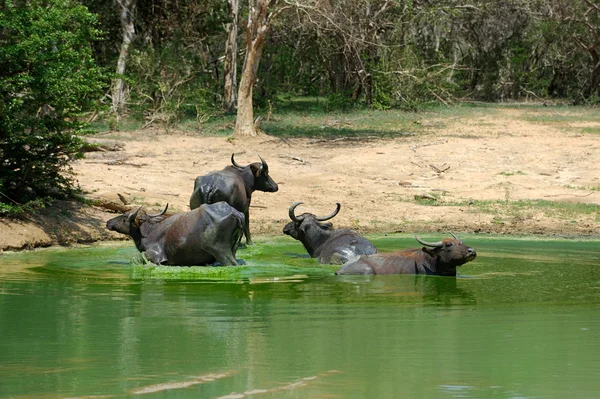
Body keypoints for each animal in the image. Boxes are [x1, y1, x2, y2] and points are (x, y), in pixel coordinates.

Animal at [105, 203, 244, 266]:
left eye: (124, 216)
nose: (108, 222)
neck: (149, 232)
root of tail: (236, 213)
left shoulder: (155, 256)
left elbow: (136, 259)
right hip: (233, 249)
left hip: (221, 251)